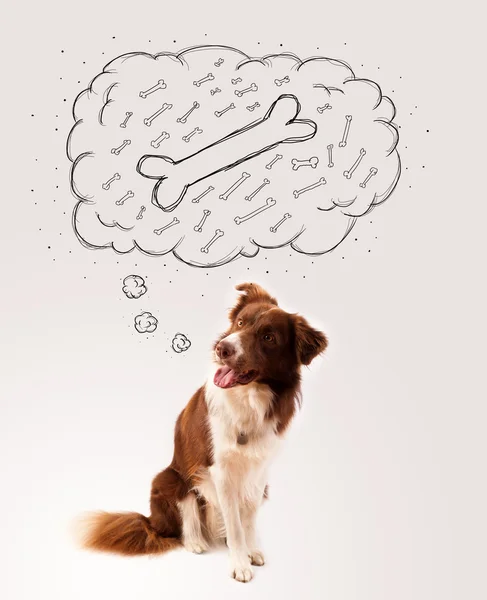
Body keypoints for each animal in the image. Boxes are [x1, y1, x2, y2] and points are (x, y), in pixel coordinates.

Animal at [81, 284, 328, 584]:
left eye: (268, 337)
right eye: (240, 323)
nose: (223, 348)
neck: (249, 400)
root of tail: (152, 522)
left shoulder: (259, 472)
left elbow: (248, 518)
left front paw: (251, 550)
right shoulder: (220, 471)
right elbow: (234, 524)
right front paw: (239, 563)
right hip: (171, 478)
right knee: (186, 515)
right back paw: (195, 542)